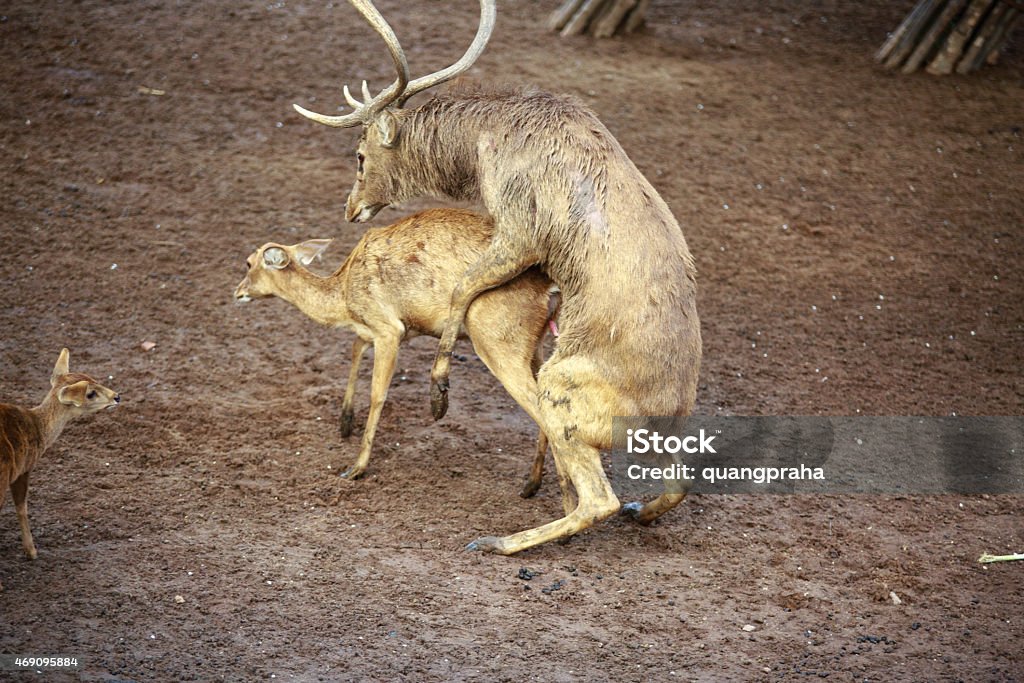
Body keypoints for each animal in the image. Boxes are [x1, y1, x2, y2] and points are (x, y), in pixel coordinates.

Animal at [0, 348, 118, 589]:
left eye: (93, 378)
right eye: (90, 393)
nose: (116, 396)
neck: (38, 428)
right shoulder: (22, 468)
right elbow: (21, 506)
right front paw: (31, 552)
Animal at [234, 205, 569, 499]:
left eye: (249, 263)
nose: (237, 293)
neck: (343, 298)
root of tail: (551, 291)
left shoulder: (389, 328)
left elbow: (377, 393)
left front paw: (355, 468)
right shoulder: (399, 329)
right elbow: (355, 348)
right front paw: (344, 423)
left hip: (496, 342)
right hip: (534, 345)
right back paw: (530, 486)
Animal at [292, 0, 700, 557]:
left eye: (359, 156)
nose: (351, 208)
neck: (479, 150)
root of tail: (661, 414)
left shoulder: (520, 227)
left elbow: (462, 286)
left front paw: (439, 395)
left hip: (562, 388)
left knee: (599, 498)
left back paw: (498, 540)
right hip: (653, 432)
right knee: (678, 482)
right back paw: (633, 509)